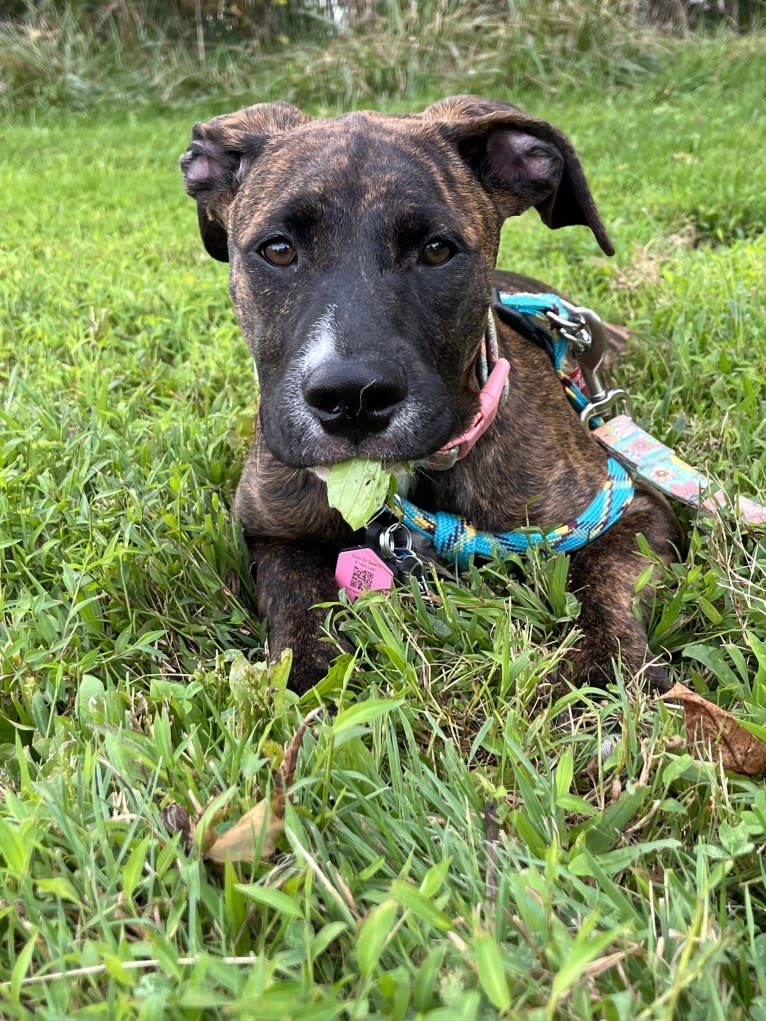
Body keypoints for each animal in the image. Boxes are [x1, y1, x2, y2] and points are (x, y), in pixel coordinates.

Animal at [181, 93, 682, 694]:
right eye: (277, 250)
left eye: (438, 250)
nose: (353, 399)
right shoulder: (269, 532)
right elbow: (294, 592)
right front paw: (305, 671)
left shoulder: (631, 512)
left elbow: (604, 585)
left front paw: (605, 671)